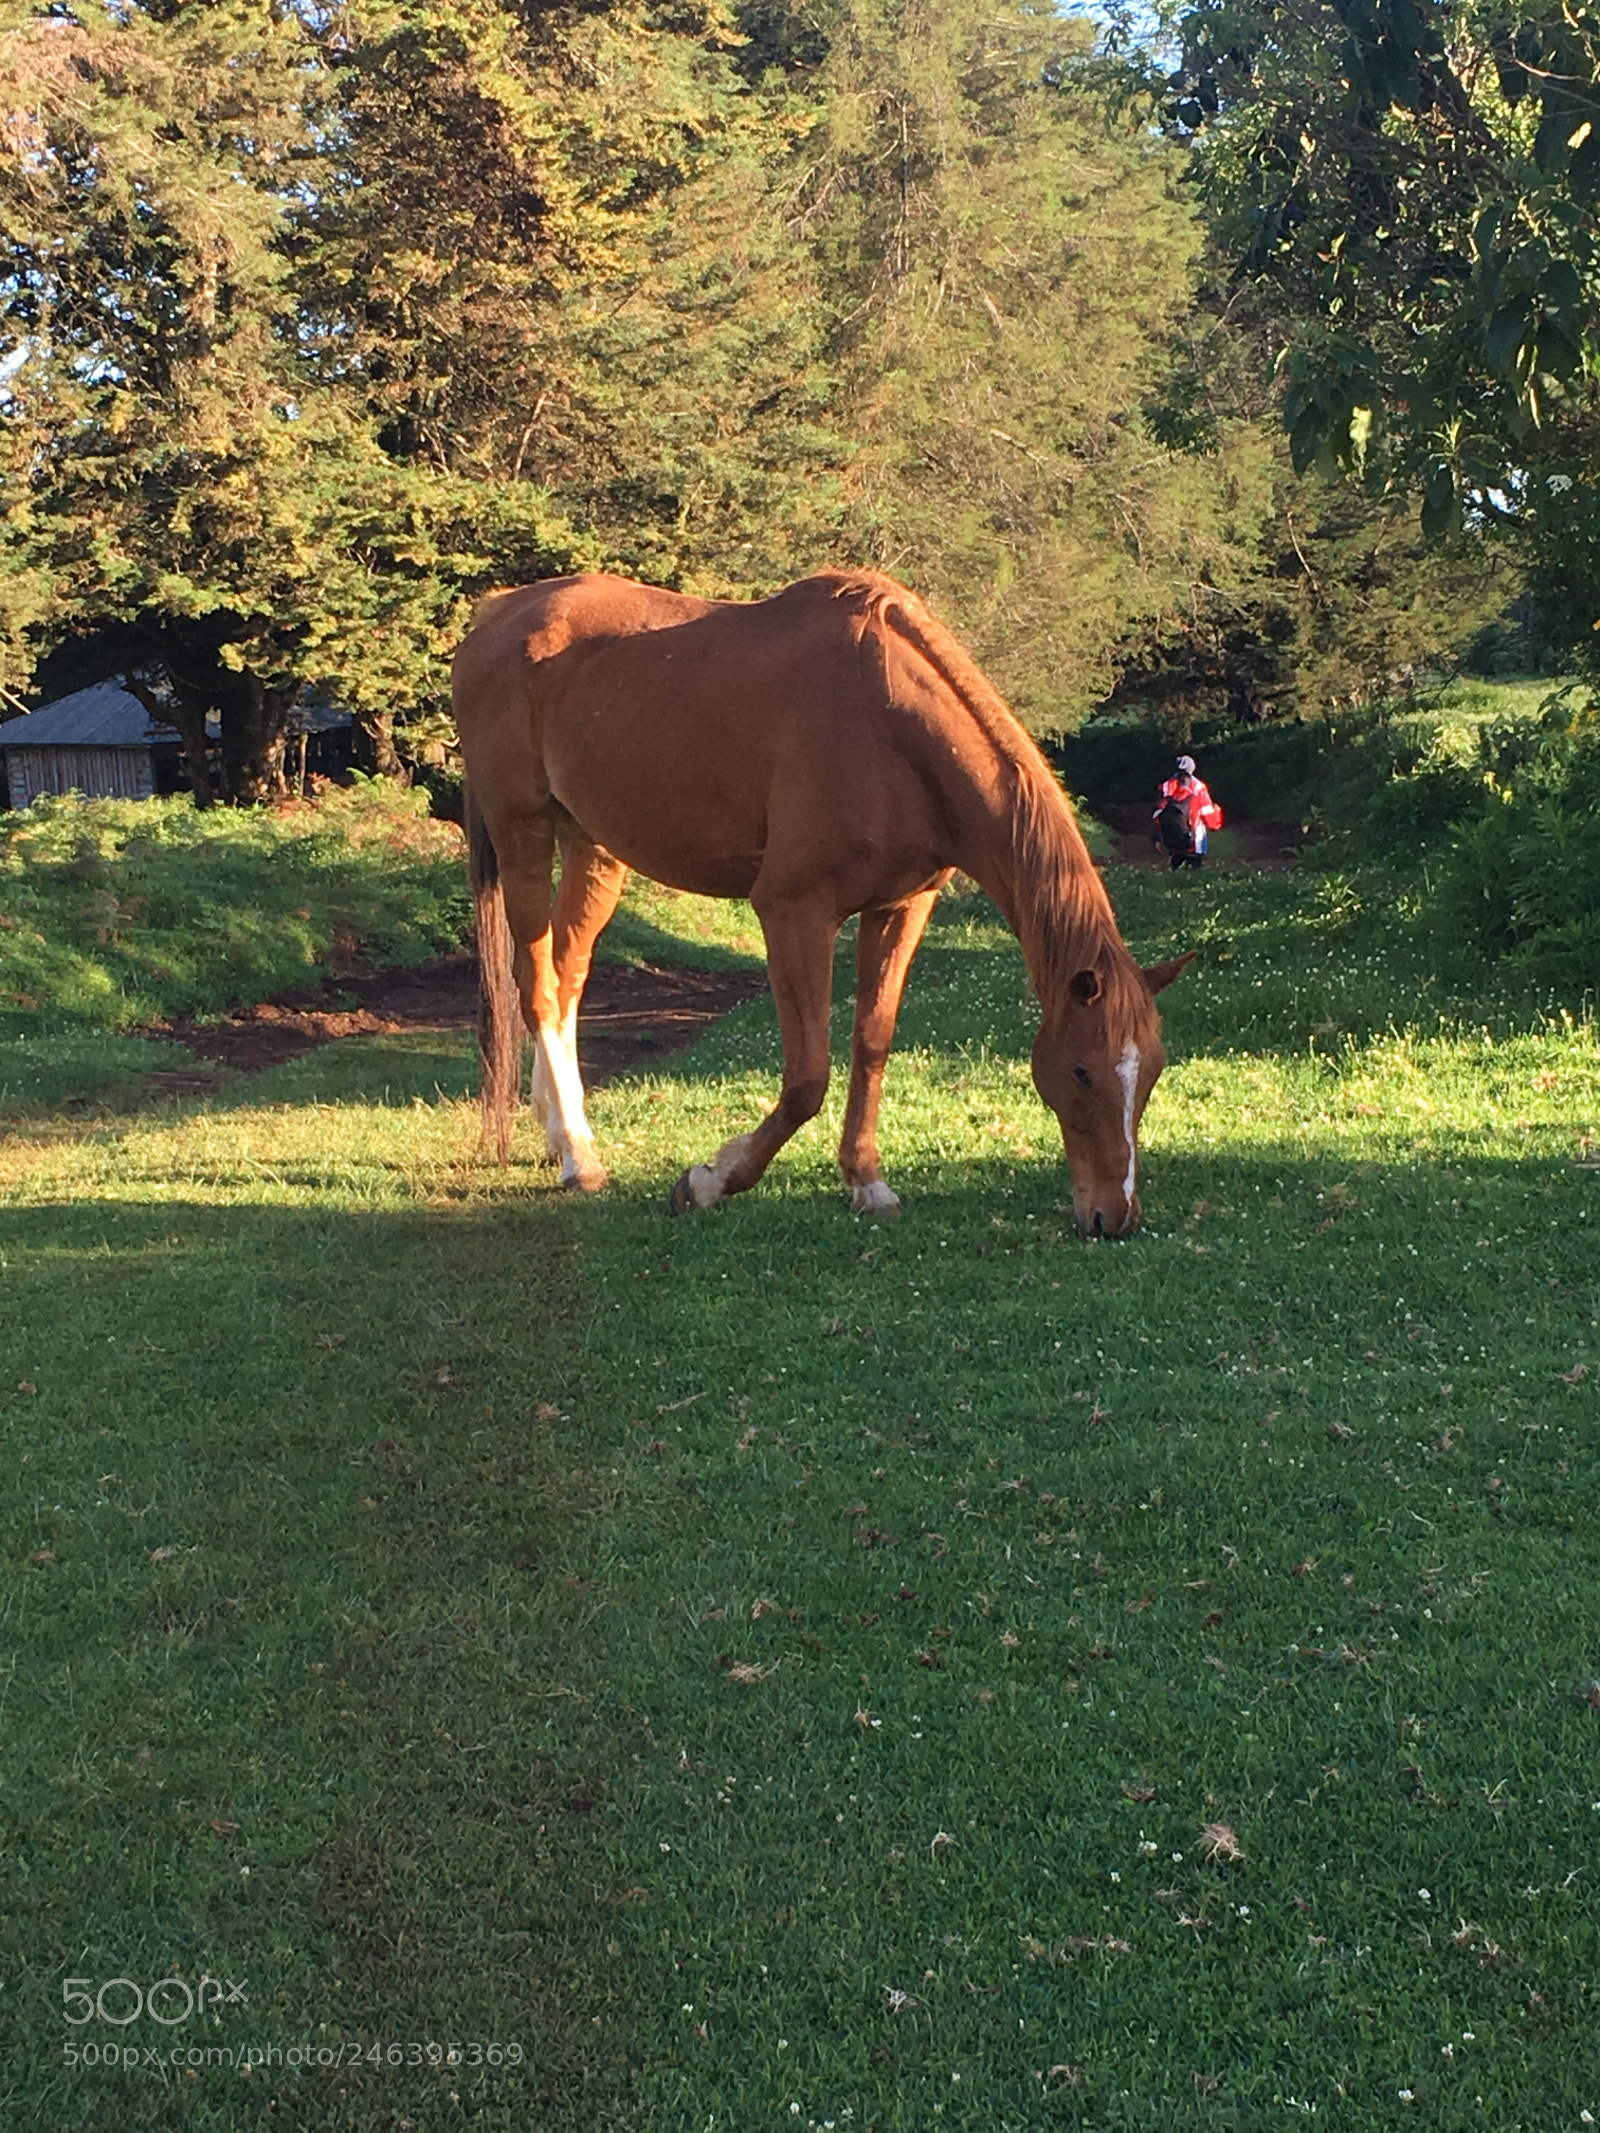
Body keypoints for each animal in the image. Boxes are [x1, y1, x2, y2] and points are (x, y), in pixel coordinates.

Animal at [452, 568, 1190, 1238]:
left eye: (1152, 1071)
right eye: (1082, 1071)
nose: (1114, 1216)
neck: (889, 727)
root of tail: (496, 615)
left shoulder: (900, 908)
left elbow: (872, 1041)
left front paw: (866, 1179)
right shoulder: (793, 911)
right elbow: (807, 1075)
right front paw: (711, 1180)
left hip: (594, 847)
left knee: (567, 978)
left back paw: (563, 1133)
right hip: (523, 832)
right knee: (537, 986)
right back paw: (579, 1159)